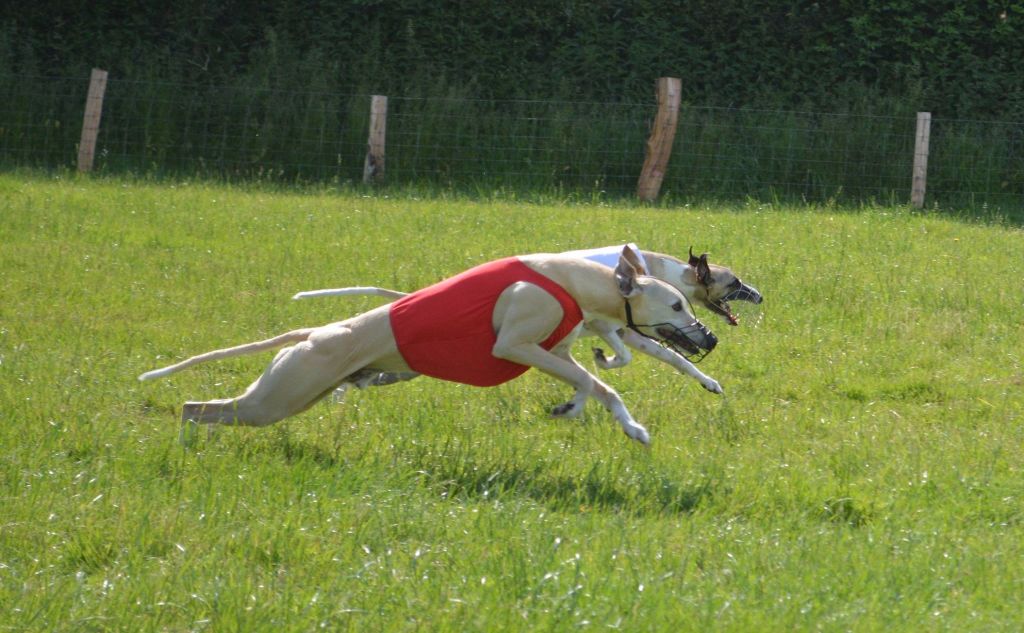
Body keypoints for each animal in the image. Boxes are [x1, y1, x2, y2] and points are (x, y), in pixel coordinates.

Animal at [138, 247, 720, 444]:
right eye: (676, 306)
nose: (710, 338)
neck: (576, 277)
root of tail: (313, 334)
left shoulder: (555, 348)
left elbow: (590, 381)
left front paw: (584, 411)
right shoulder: (518, 342)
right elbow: (598, 381)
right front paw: (633, 428)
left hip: (299, 392)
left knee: (205, 407)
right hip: (278, 397)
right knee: (195, 406)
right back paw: (187, 444)